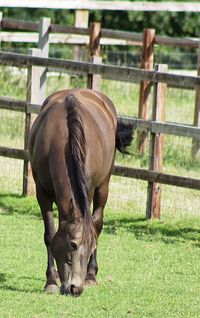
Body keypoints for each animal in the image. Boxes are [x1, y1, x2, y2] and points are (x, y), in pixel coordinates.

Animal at [28, 87, 134, 296]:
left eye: (92, 246)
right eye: (73, 244)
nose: (75, 288)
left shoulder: (89, 189)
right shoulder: (41, 192)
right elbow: (49, 234)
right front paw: (51, 281)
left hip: (103, 186)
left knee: (98, 223)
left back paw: (91, 275)